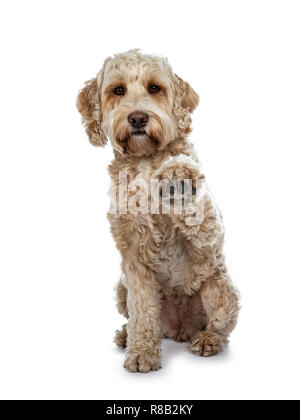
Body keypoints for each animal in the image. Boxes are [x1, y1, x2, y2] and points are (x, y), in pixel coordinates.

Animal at [77, 49, 239, 374]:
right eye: (118, 90)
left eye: (155, 88)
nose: (138, 118)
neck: (144, 160)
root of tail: (179, 329)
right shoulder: (133, 257)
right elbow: (142, 311)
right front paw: (141, 352)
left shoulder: (207, 237)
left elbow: (199, 216)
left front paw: (178, 175)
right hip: (121, 287)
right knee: (140, 317)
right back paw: (126, 334)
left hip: (220, 286)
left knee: (221, 326)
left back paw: (208, 339)